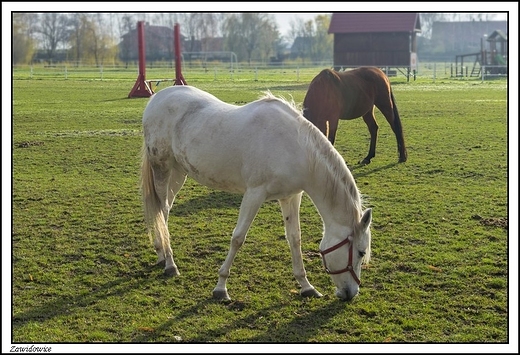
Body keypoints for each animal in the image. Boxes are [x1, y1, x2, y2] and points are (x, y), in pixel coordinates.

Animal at [140, 85, 372, 302]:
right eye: (361, 252)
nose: (351, 293)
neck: (294, 147)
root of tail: (157, 98)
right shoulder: (254, 194)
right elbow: (238, 238)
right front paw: (220, 288)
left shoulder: (290, 197)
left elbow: (294, 239)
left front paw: (306, 286)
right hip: (162, 168)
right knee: (160, 211)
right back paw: (170, 264)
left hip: (178, 172)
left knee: (165, 211)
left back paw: (161, 254)